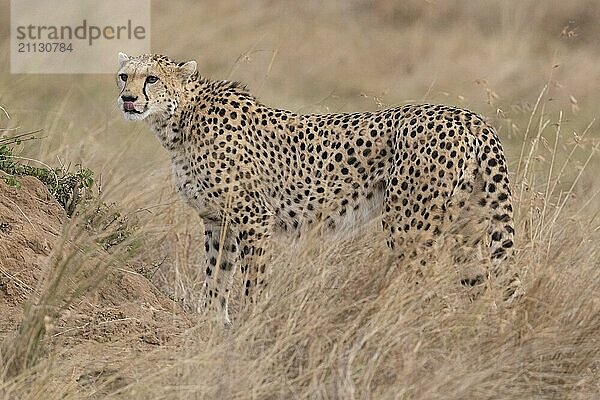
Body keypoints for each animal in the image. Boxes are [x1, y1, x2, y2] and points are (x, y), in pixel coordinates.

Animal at [116, 53, 516, 324]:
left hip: (408, 225)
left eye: (151, 79)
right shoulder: (218, 219)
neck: (180, 122)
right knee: (481, 286)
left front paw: (253, 324)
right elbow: (216, 274)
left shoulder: (253, 217)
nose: (128, 99)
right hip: (466, 227)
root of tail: (470, 117)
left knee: (425, 283)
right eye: (123, 76)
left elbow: (252, 280)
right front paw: (212, 323)